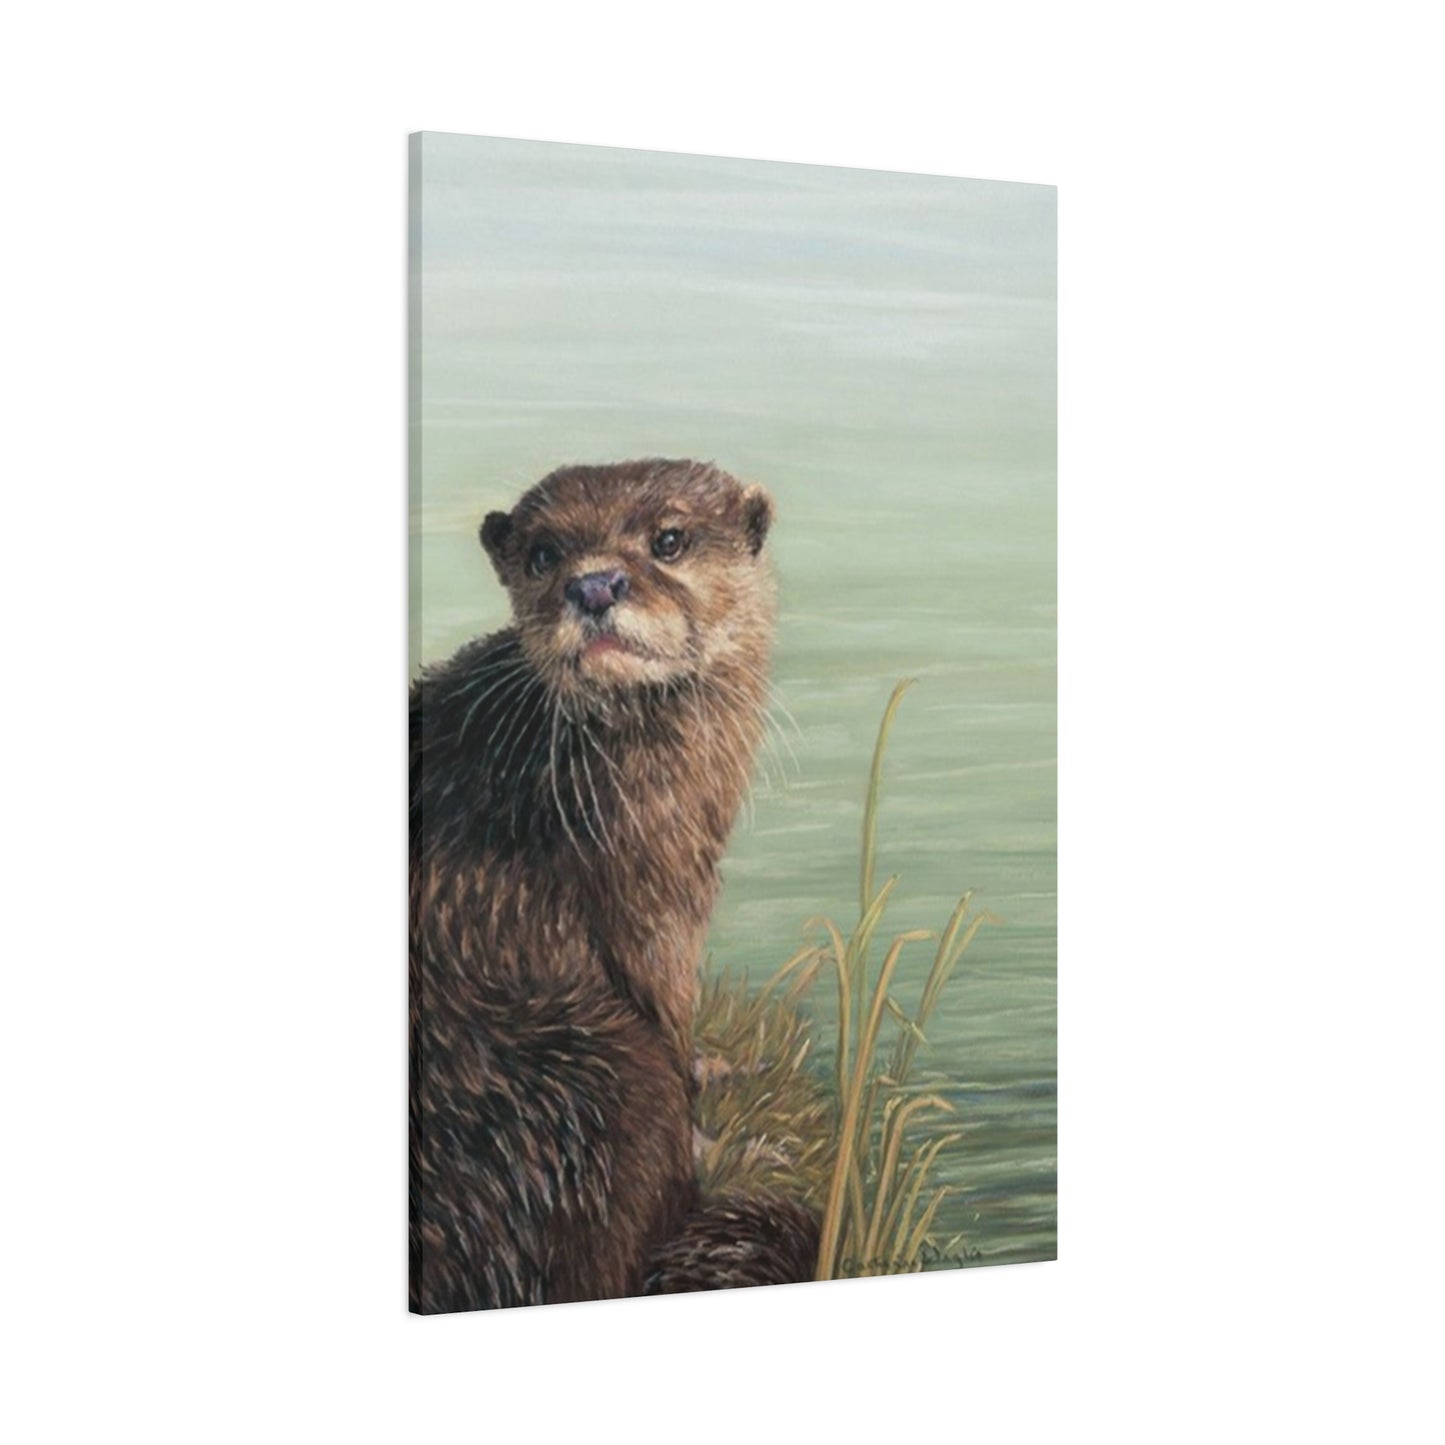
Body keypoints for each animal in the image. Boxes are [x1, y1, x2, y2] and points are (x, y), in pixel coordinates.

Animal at [410, 458, 819, 1312]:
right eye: (542, 554)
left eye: (668, 539)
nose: (594, 584)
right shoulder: (647, 893)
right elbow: (664, 1006)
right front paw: (715, 1124)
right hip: (602, 1077)